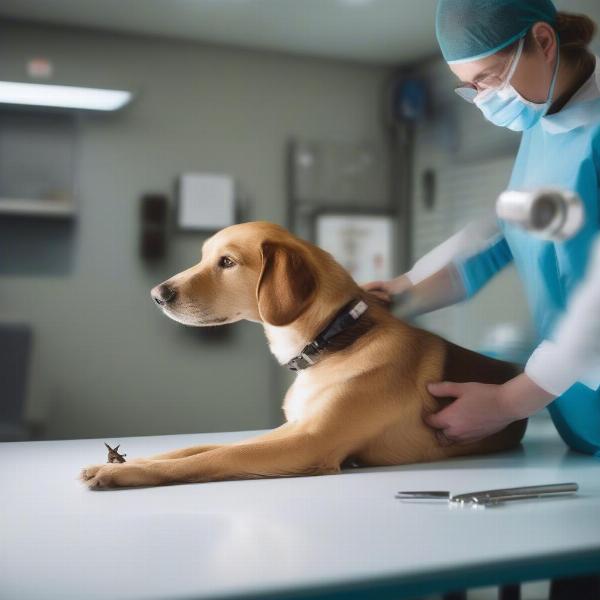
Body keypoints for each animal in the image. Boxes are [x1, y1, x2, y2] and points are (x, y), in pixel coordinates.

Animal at [78, 220, 524, 488]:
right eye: (204, 257)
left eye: (227, 262)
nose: (157, 294)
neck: (332, 342)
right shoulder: (291, 429)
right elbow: (193, 449)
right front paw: (125, 462)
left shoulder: (308, 442)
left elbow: (212, 457)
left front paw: (127, 474)